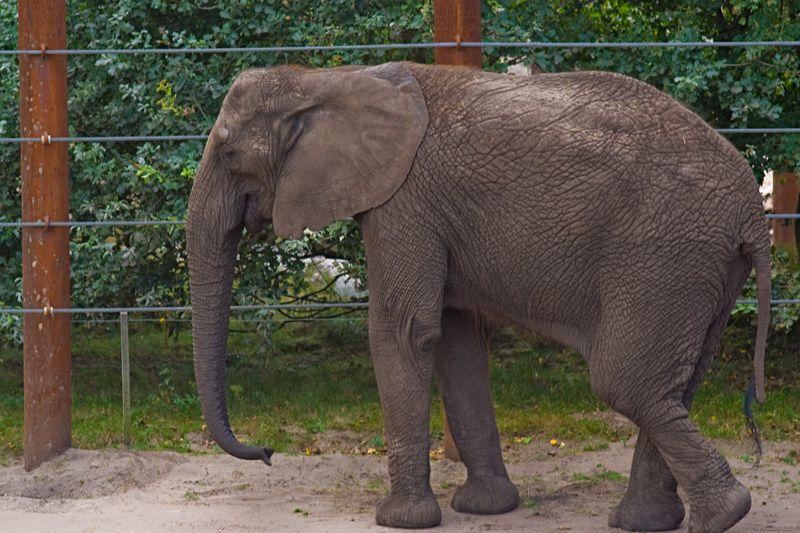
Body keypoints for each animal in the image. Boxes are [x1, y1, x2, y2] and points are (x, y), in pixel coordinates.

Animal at [186, 62, 770, 532]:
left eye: (230, 153)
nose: (267, 452)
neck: (325, 77)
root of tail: (753, 211)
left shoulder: (404, 201)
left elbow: (403, 332)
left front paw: (399, 520)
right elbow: (454, 340)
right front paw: (487, 508)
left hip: (664, 255)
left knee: (624, 382)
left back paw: (724, 515)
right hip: (701, 269)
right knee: (674, 385)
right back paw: (657, 521)